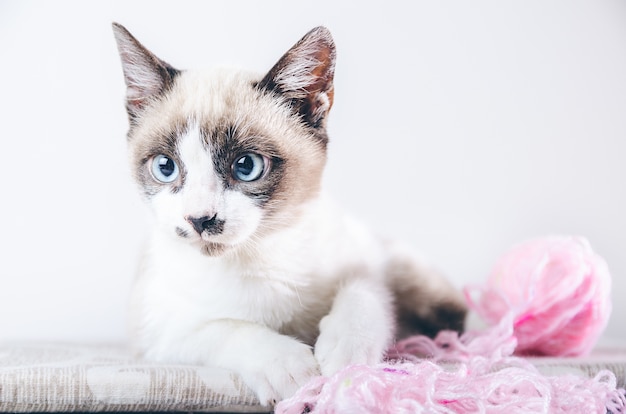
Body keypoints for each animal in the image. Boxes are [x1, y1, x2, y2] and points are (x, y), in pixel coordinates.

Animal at [111, 23, 464, 408]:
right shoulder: (156, 329)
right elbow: (225, 328)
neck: (261, 256)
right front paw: (293, 370)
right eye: (165, 167)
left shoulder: (370, 256)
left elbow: (364, 290)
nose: (200, 219)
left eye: (247, 166)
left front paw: (345, 358)